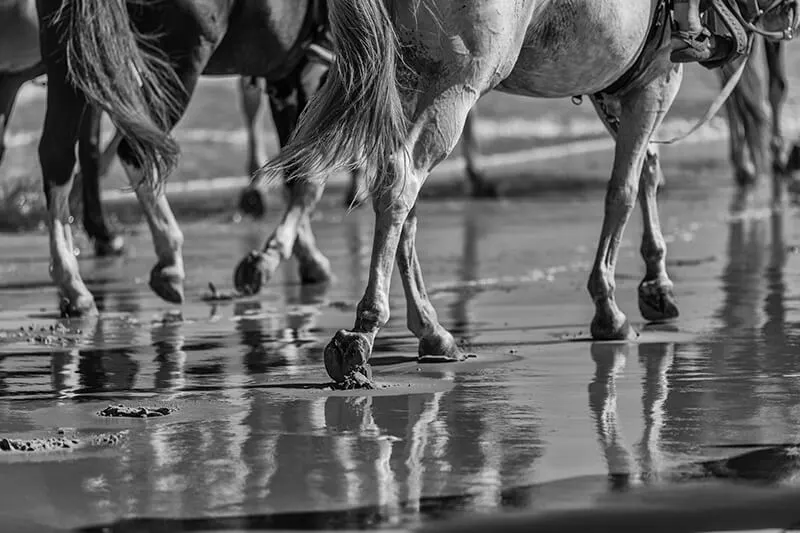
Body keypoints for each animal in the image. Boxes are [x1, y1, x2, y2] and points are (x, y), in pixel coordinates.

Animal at [233, 0, 800, 382]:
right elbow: (622, 190)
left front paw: (655, 282)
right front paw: (610, 306)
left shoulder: (616, 87)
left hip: (409, 82)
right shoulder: (656, 81)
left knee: (402, 199)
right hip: (453, 88)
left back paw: (432, 331)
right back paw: (365, 333)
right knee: (399, 186)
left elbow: (646, 175)